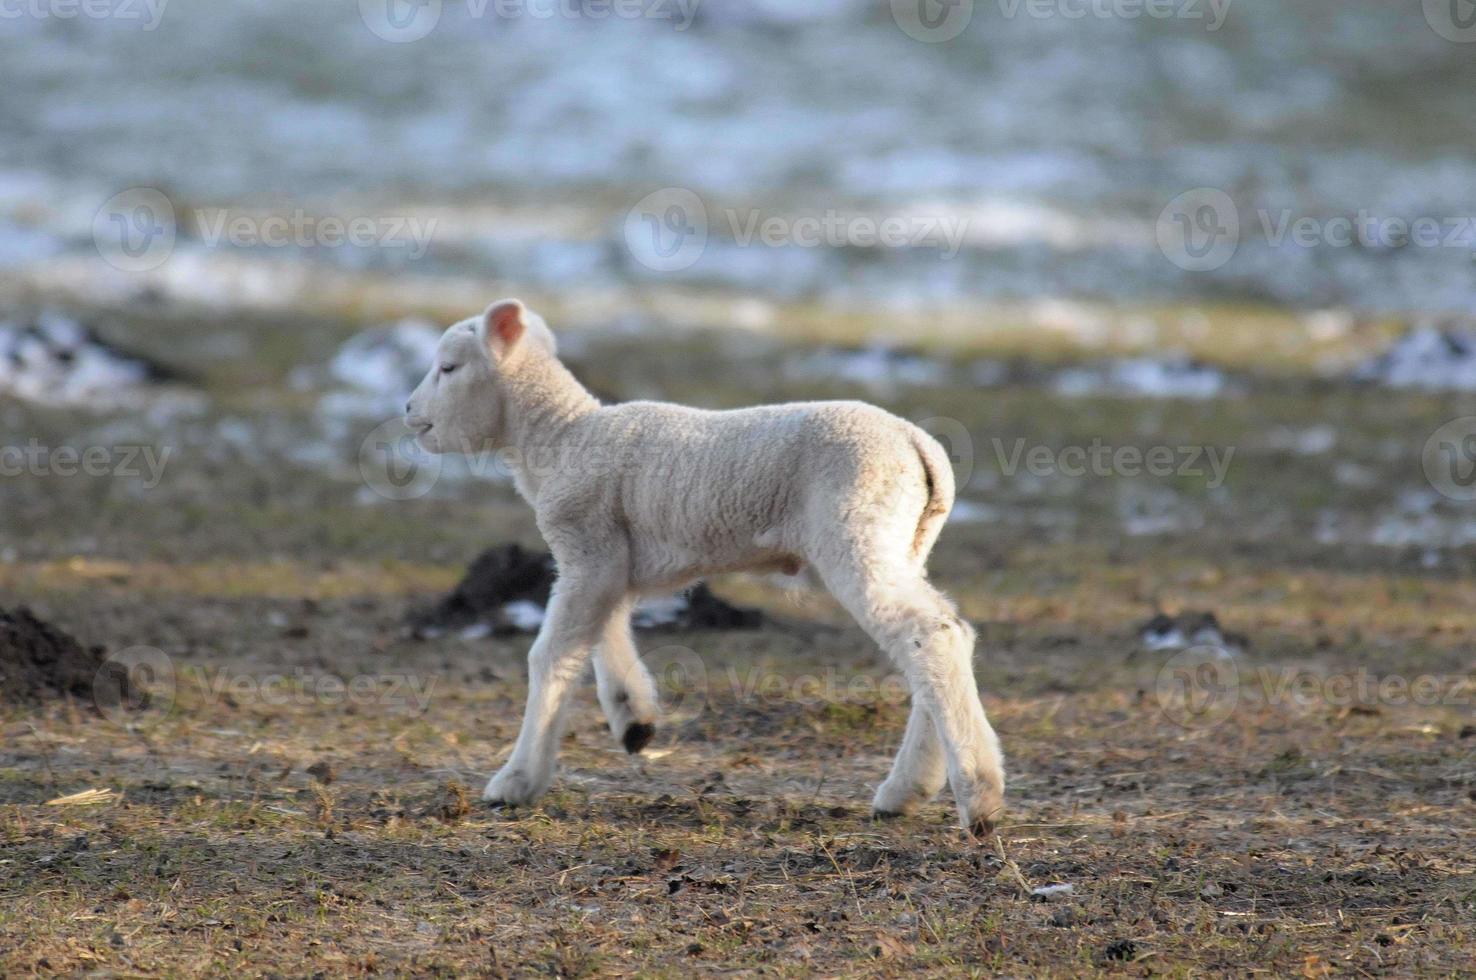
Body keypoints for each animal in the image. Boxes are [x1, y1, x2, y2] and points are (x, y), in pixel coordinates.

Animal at [404, 298, 1003, 832]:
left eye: (449, 367)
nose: (409, 411)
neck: (561, 436)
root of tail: (919, 445)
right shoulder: (607, 557)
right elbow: (602, 635)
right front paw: (634, 719)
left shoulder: (586, 544)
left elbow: (550, 656)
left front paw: (516, 782)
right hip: (906, 541)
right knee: (944, 634)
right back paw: (907, 791)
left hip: (856, 528)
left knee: (929, 634)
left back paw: (979, 798)